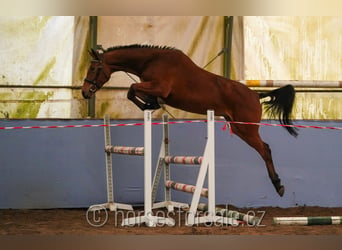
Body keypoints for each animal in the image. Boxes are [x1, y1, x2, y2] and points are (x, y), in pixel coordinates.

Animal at [81, 45, 298, 197]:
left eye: (93, 68)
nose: (84, 92)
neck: (151, 60)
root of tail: (255, 94)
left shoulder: (160, 87)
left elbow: (132, 89)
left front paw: (149, 104)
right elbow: (133, 91)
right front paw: (150, 104)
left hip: (247, 130)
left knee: (265, 150)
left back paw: (278, 185)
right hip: (238, 128)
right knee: (264, 149)